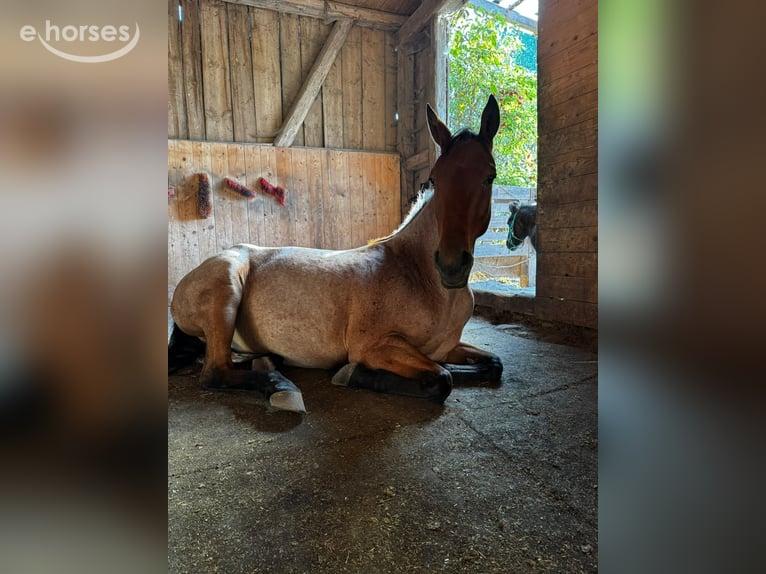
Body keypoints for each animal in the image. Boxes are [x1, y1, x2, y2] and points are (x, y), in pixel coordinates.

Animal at [169, 95, 503, 412]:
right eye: (434, 179)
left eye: (490, 176)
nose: (451, 266)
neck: (420, 278)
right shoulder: (375, 347)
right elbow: (441, 378)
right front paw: (353, 373)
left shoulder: (445, 347)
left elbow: (493, 364)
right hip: (226, 289)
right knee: (215, 372)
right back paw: (282, 389)